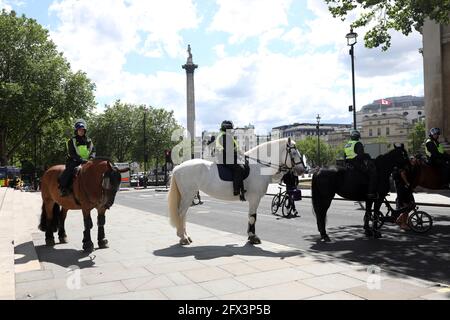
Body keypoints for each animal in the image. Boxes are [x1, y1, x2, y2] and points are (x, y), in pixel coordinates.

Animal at [167, 138, 304, 245]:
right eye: (293, 152)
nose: (303, 169)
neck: (258, 166)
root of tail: (178, 167)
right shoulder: (255, 198)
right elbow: (253, 217)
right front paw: (253, 237)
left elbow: (250, 216)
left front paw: (250, 236)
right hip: (188, 195)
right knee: (181, 213)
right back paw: (183, 237)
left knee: (183, 214)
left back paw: (185, 236)